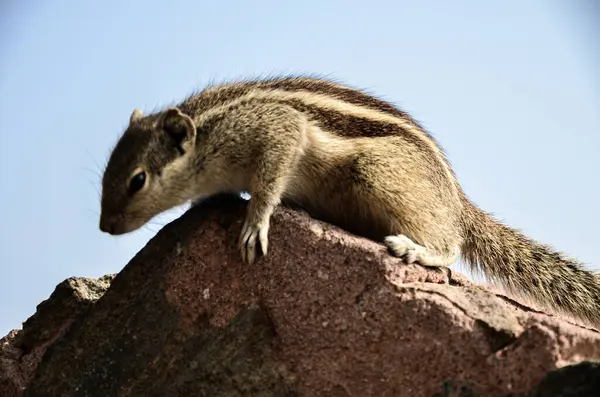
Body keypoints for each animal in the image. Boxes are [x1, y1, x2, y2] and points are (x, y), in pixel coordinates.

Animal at [99, 74, 600, 328]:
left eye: (137, 180)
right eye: (106, 173)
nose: (105, 227)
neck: (207, 131)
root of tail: (458, 200)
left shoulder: (276, 129)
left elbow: (270, 180)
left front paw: (255, 222)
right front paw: (204, 206)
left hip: (378, 175)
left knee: (451, 247)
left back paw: (416, 249)